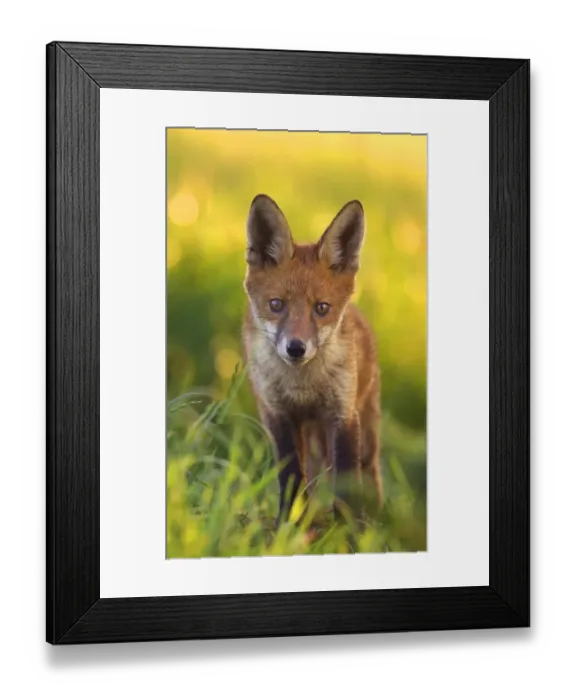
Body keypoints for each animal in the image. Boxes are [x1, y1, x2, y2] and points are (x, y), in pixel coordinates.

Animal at [242, 194, 383, 528]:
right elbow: (291, 477)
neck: (302, 387)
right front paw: (287, 525)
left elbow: (347, 480)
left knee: (368, 475)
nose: (296, 348)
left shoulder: (342, 415)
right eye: (276, 305)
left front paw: (348, 531)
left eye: (321, 308)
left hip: (365, 433)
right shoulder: (277, 414)